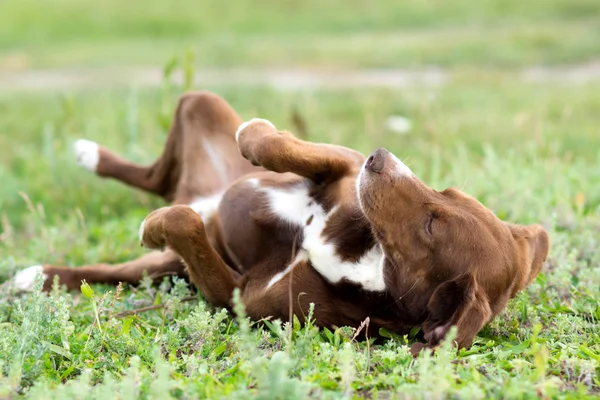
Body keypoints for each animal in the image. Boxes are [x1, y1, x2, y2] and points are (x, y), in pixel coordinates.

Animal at [11, 91, 552, 354]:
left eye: (432, 225)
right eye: (448, 193)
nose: (381, 157)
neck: (361, 257)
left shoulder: (236, 296)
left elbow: (187, 229)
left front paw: (159, 223)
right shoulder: (343, 169)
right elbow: (279, 146)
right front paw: (256, 131)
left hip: (167, 263)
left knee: (152, 233)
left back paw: (41, 271)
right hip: (202, 111)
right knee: (159, 174)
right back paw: (87, 161)